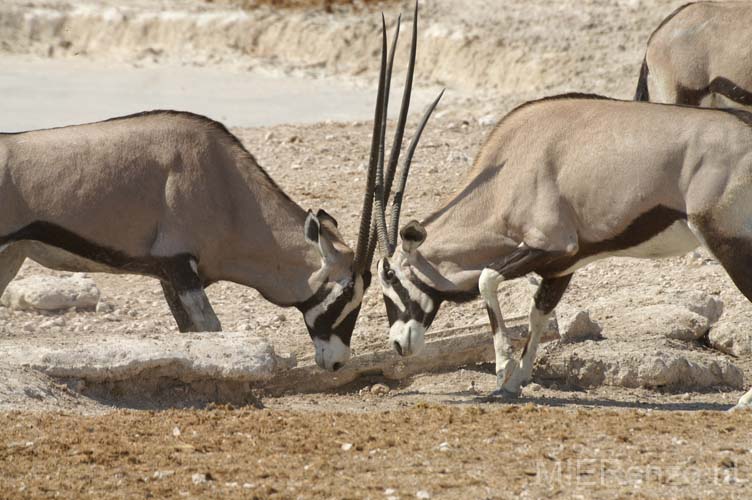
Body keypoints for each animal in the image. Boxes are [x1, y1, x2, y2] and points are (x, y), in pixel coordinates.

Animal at [0, 4, 432, 372]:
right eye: (344, 295)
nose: (337, 361)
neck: (229, 189)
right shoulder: (180, 267)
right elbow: (211, 331)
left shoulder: (170, 275)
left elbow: (191, 334)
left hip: (11, 255)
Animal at [378, 94, 752, 410]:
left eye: (390, 275)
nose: (397, 344)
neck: (506, 175)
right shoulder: (562, 266)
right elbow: (538, 314)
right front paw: (513, 383)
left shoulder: (550, 244)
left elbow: (487, 278)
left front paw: (503, 370)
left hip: (728, 243)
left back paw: (744, 401)